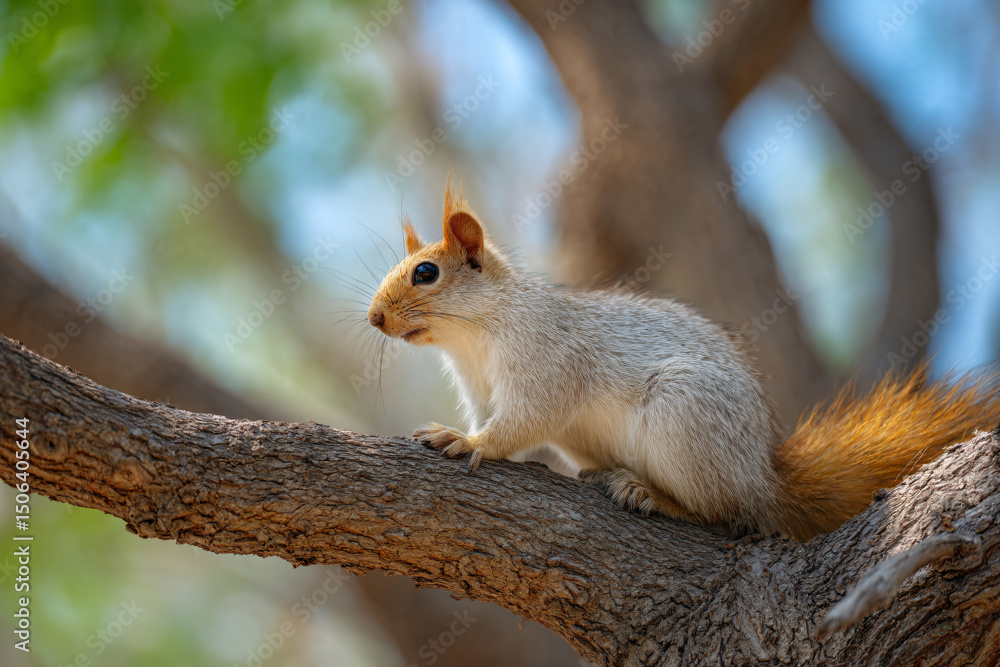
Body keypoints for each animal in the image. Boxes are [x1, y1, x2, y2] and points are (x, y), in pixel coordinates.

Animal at [365, 176, 1000, 541]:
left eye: (426, 273)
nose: (374, 318)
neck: (475, 335)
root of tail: (762, 480)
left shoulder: (549, 357)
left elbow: (526, 419)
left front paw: (469, 442)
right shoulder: (477, 385)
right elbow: (492, 416)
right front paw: (455, 433)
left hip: (684, 416)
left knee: (723, 513)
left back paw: (652, 495)